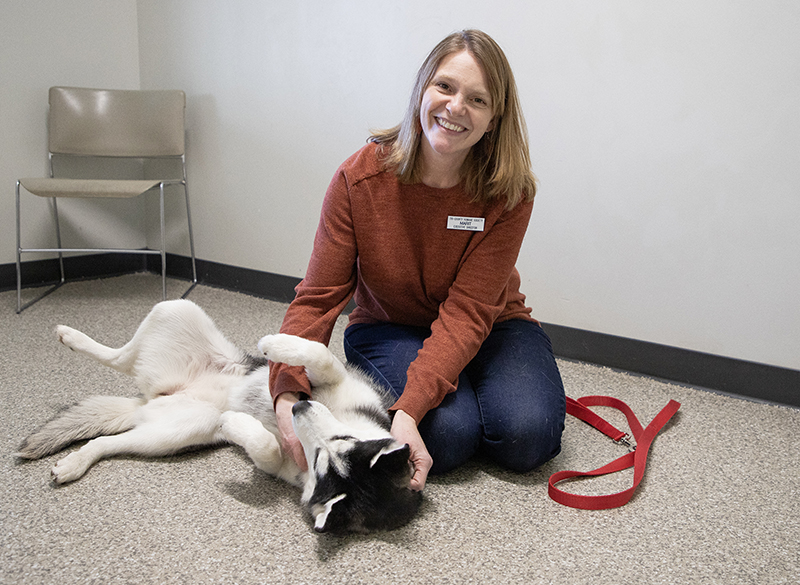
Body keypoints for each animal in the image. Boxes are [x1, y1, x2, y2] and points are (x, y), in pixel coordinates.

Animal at [15, 298, 422, 532]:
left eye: (324, 457)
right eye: (340, 441)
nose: (298, 406)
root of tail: (151, 398)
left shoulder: (279, 464)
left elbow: (267, 448)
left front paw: (238, 423)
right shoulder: (337, 380)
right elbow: (319, 354)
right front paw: (276, 344)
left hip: (171, 434)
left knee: (106, 438)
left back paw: (76, 462)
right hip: (177, 309)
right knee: (118, 357)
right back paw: (72, 336)